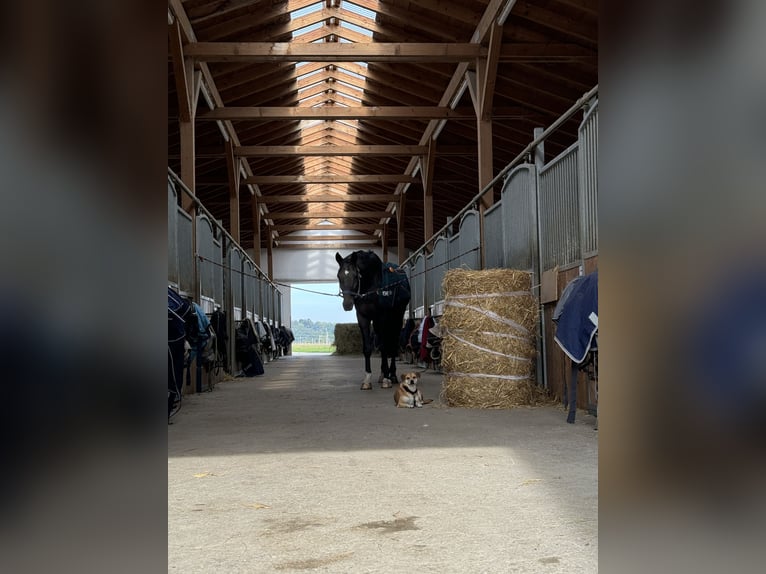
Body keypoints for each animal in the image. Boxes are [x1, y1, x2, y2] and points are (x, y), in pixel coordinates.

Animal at [334, 252, 412, 392]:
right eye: (339, 275)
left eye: (356, 275)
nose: (347, 304)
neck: (371, 287)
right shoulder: (363, 318)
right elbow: (368, 348)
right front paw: (367, 380)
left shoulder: (382, 316)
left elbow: (384, 346)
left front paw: (387, 380)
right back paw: (382, 374)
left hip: (396, 318)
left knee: (393, 343)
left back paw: (392, 375)